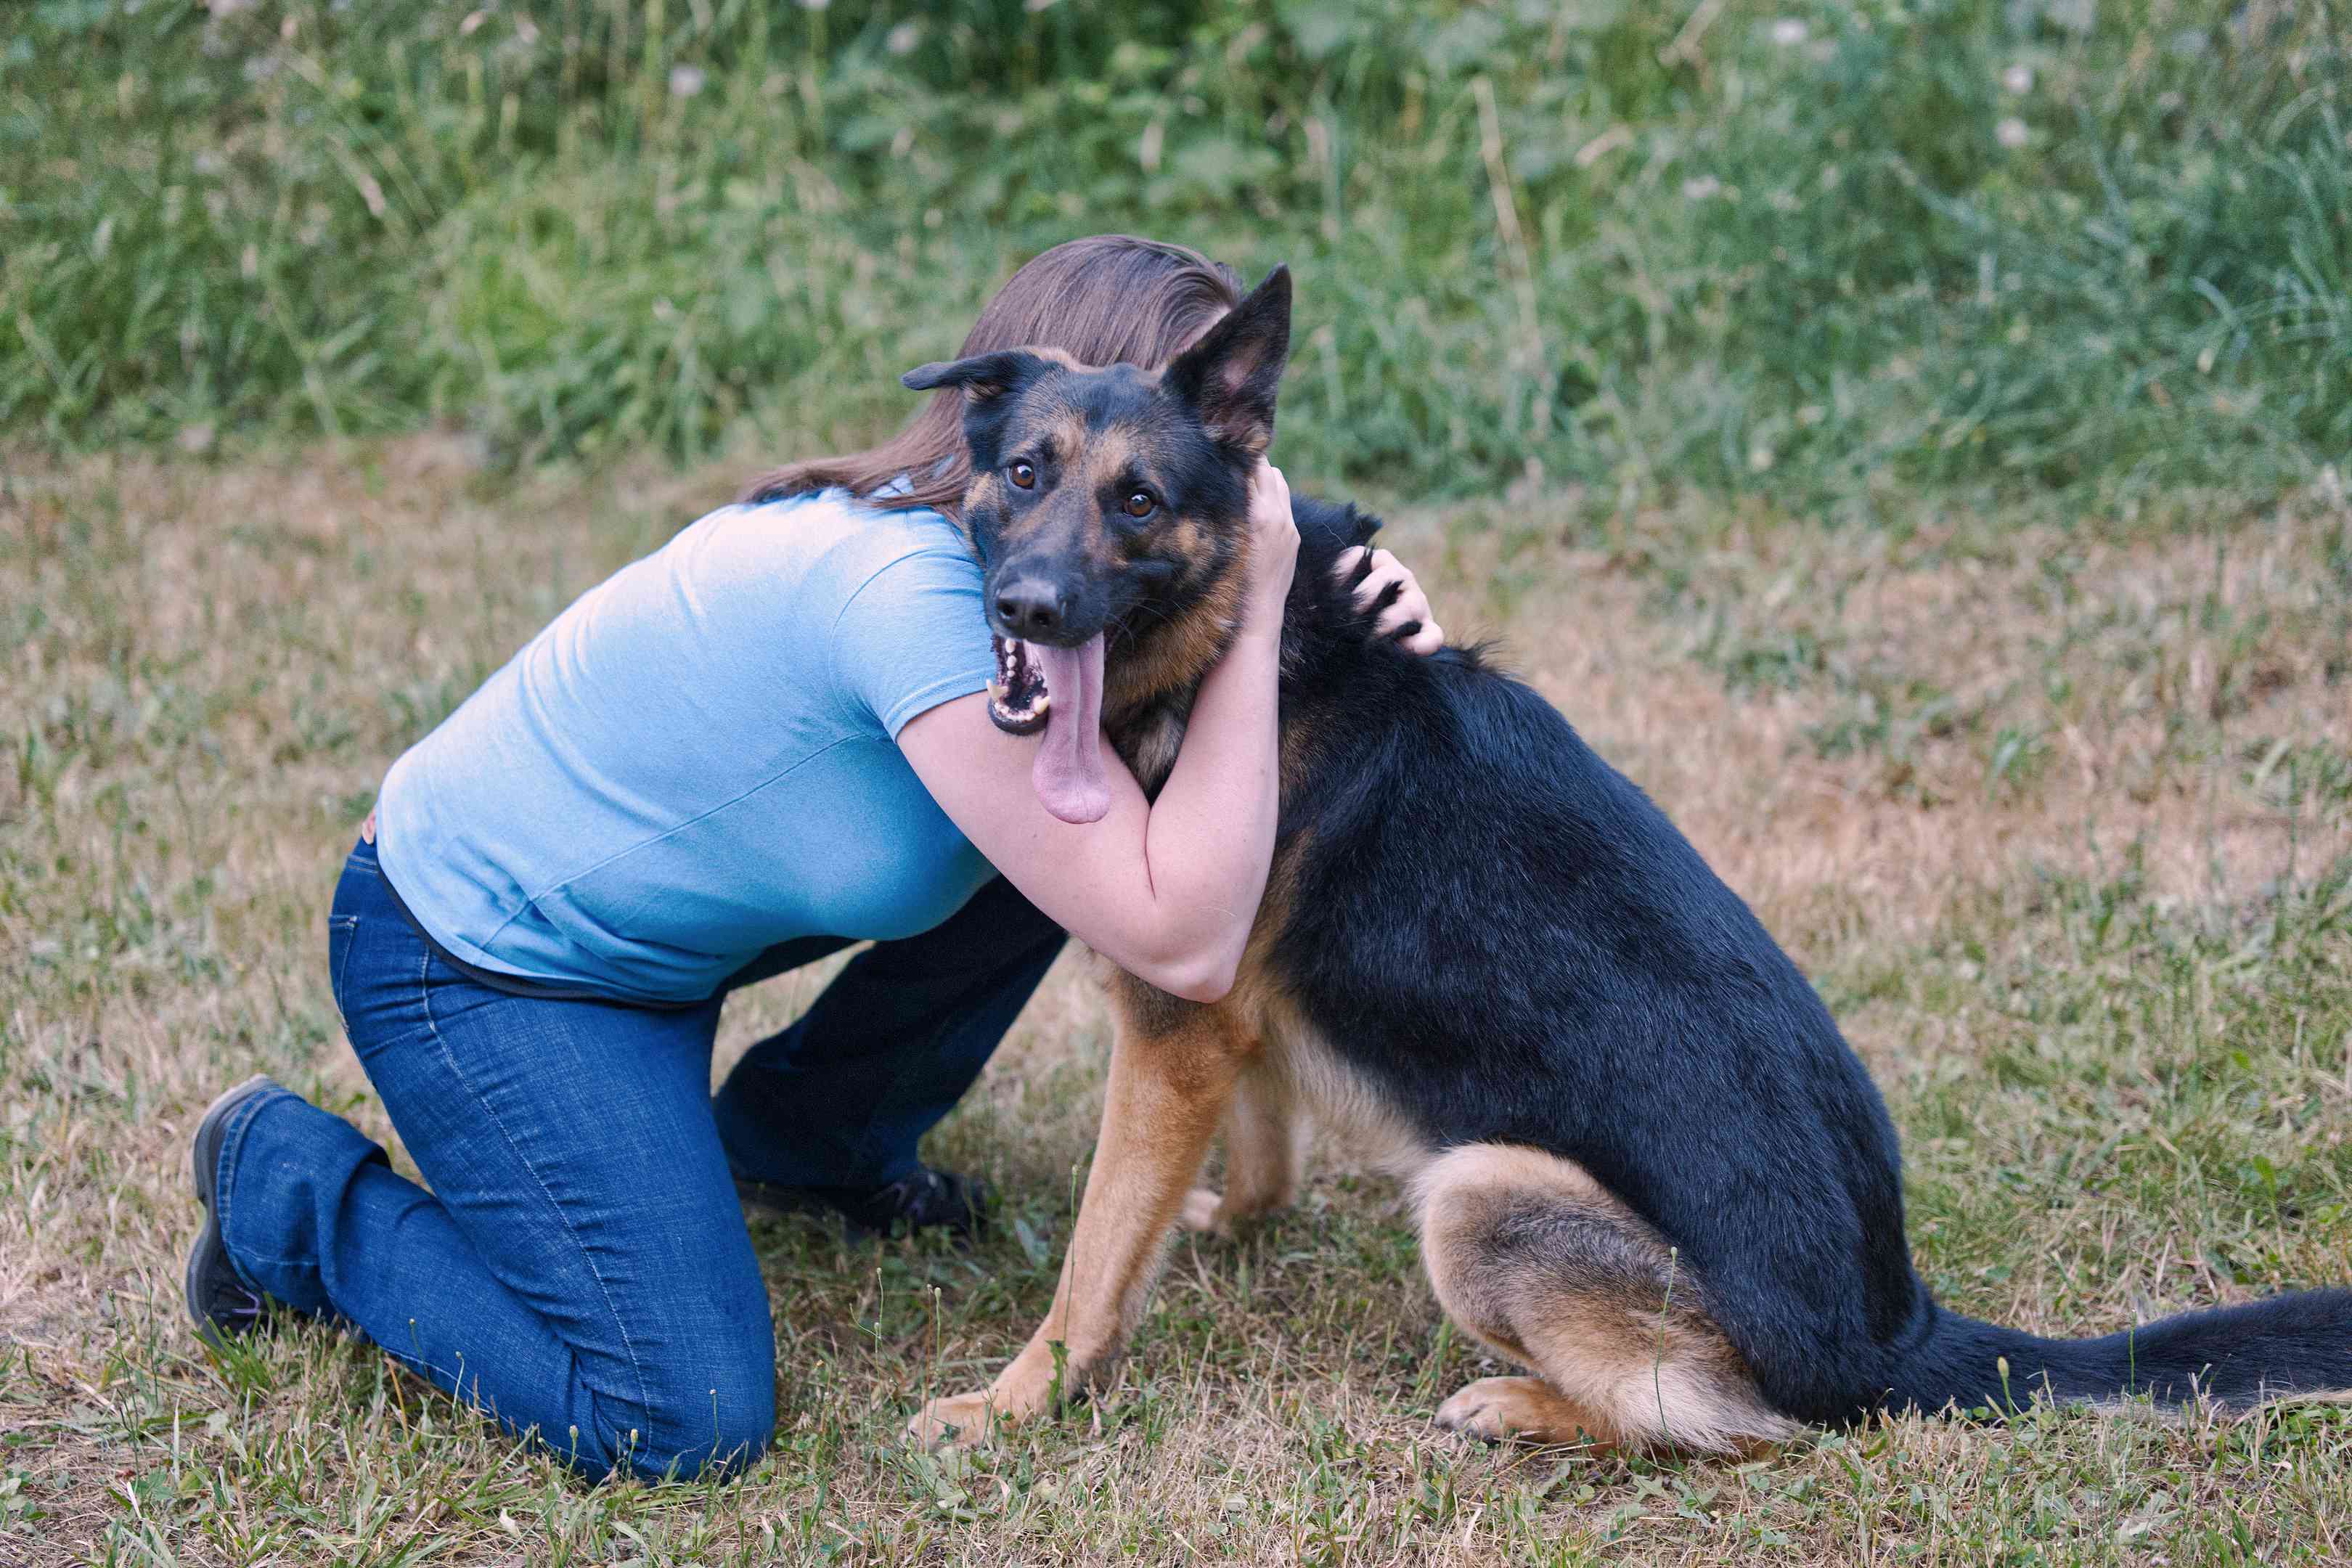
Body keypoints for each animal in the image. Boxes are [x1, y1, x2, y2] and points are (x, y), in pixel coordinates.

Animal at [889, 266, 2343, 1447]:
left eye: (1137, 501)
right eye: (1025, 474)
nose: (1027, 608)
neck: (1242, 631)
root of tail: (1897, 1334)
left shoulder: (1170, 1029)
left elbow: (1092, 1259)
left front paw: (1014, 1404)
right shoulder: (1216, 1020)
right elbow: (1254, 1147)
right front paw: (1230, 1224)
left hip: (1479, 1193)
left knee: (1728, 1422)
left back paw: (1522, 1405)